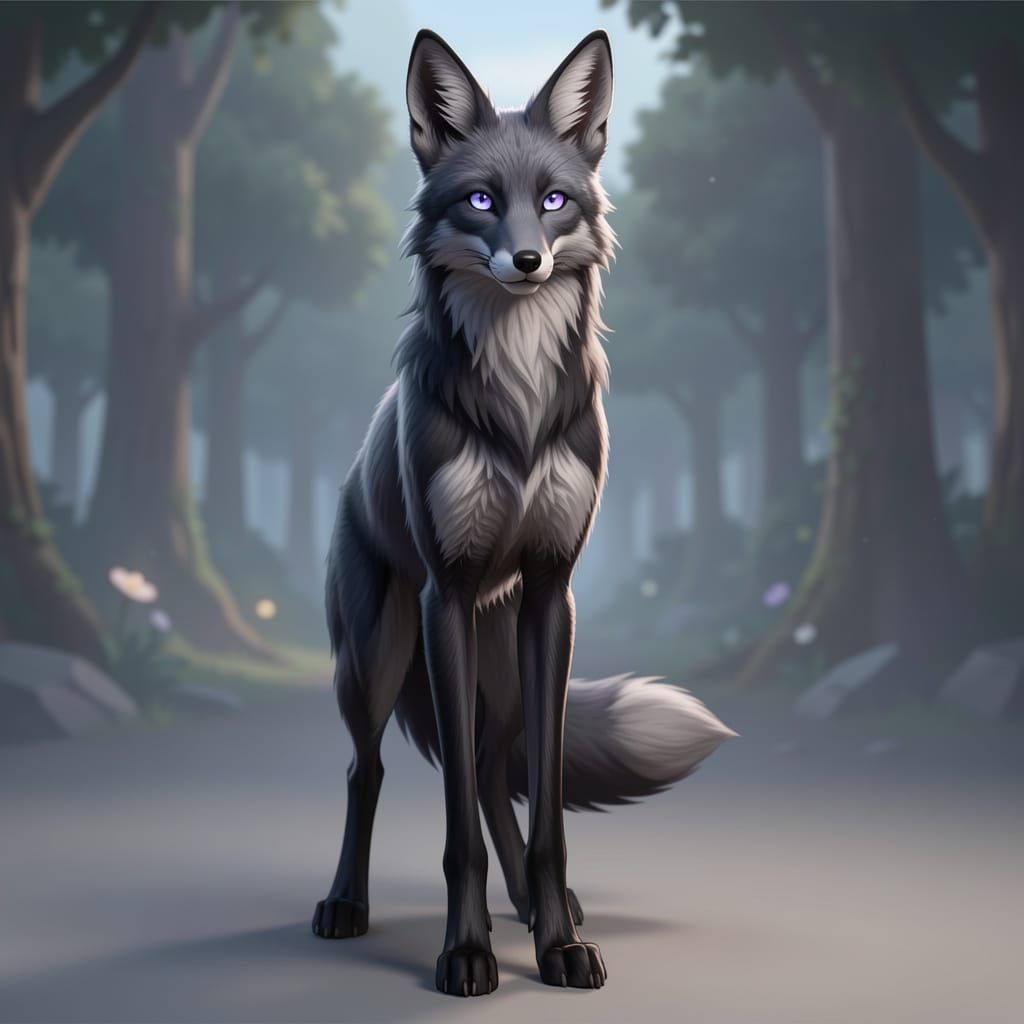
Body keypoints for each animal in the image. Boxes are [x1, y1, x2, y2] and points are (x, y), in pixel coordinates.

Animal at [312, 28, 736, 996]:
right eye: (479, 201)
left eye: (552, 201)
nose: (528, 262)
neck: (515, 401)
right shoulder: (447, 596)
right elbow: (453, 833)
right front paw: (466, 954)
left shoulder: (552, 595)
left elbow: (545, 818)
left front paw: (559, 947)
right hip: (380, 660)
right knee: (367, 770)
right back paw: (346, 904)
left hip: (500, 673)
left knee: (494, 774)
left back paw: (544, 910)